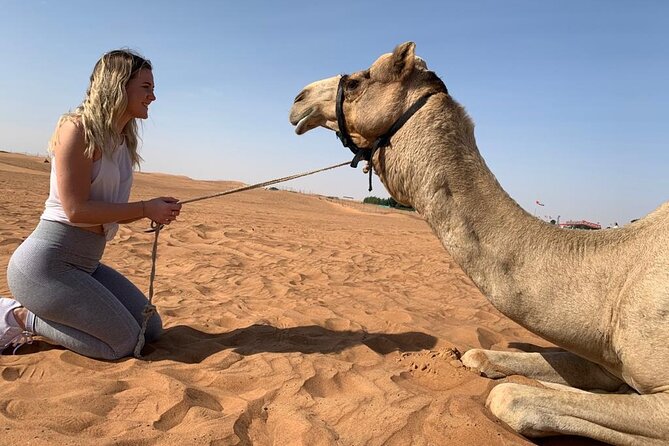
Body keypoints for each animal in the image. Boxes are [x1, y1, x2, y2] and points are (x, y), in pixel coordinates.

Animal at [289, 42, 669, 445]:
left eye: (358, 81)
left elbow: (509, 396)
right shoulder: (607, 359)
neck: (615, 285)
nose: (298, 99)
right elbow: (480, 357)